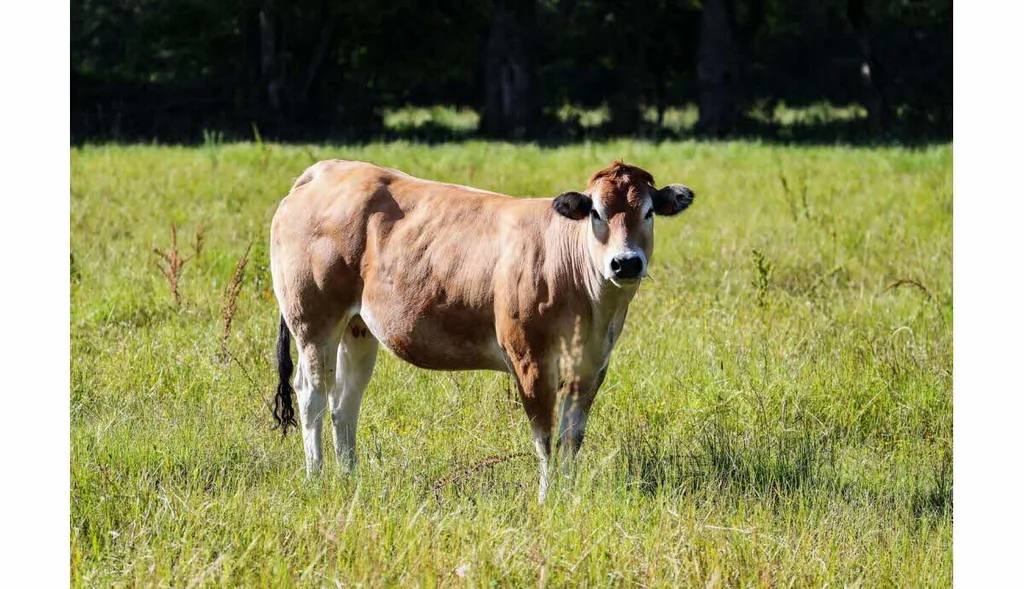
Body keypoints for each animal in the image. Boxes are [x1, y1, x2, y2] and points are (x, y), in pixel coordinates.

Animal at [269, 159, 694, 501]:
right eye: (597, 214)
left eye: (649, 212)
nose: (626, 263)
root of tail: (325, 169)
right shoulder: (530, 361)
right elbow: (545, 438)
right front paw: (547, 498)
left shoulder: (591, 367)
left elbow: (571, 438)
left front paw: (570, 494)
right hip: (312, 320)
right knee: (312, 396)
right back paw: (316, 477)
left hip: (358, 328)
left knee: (344, 404)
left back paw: (350, 478)